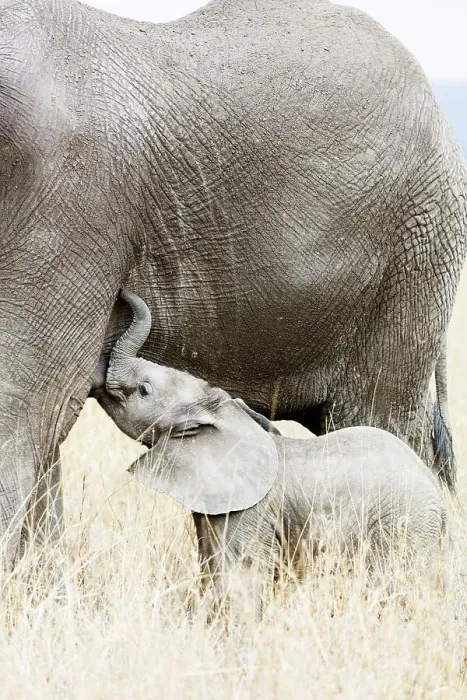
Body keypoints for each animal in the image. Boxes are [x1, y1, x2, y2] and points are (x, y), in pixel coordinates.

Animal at [95, 290, 447, 620]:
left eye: (144, 390)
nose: (124, 293)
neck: (226, 414)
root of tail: (441, 501)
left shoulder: (251, 513)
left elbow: (241, 579)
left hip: (406, 526)